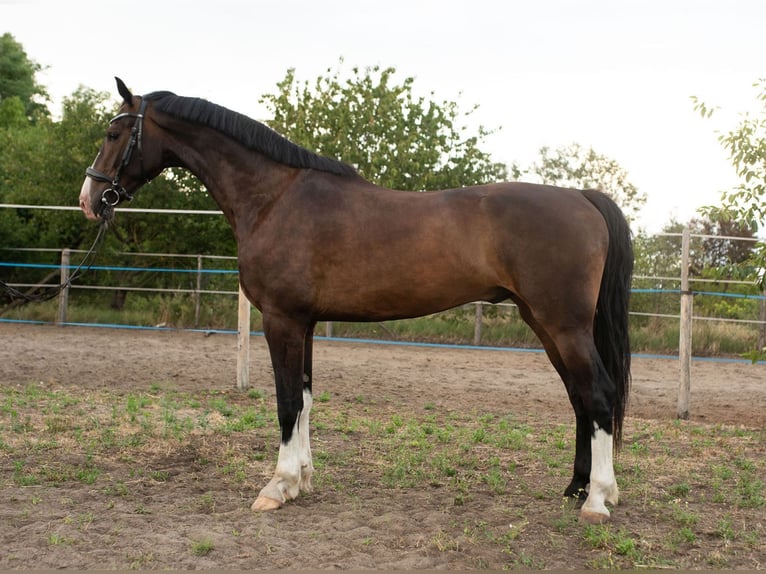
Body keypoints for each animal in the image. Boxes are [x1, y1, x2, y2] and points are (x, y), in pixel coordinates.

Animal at [80, 77, 633, 524]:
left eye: (113, 133)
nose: (89, 200)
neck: (275, 198)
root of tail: (582, 197)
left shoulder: (280, 320)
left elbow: (285, 402)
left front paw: (276, 487)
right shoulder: (302, 323)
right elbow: (304, 397)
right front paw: (301, 480)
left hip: (563, 325)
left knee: (599, 394)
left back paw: (597, 499)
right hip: (545, 324)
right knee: (580, 399)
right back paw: (576, 486)